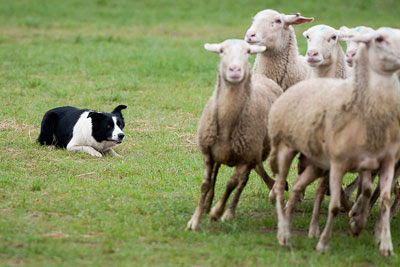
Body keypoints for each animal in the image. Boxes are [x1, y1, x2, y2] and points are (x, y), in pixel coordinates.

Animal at [186, 38, 282, 231]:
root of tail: (263, 77)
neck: (227, 123)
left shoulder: (246, 157)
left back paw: (229, 212)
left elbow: (232, 183)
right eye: (221, 51)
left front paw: (217, 212)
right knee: (216, 176)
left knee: (242, 182)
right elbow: (205, 184)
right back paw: (208, 204)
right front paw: (195, 219)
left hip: (254, 153)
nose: (235, 70)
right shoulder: (208, 152)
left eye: (248, 52)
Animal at [268, 28, 400, 256]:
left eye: (333, 37)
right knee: (285, 186)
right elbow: (334, 197)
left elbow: (373, 192)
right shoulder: (336, 162)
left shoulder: (380, 160)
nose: (312, 54)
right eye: (307, 37)